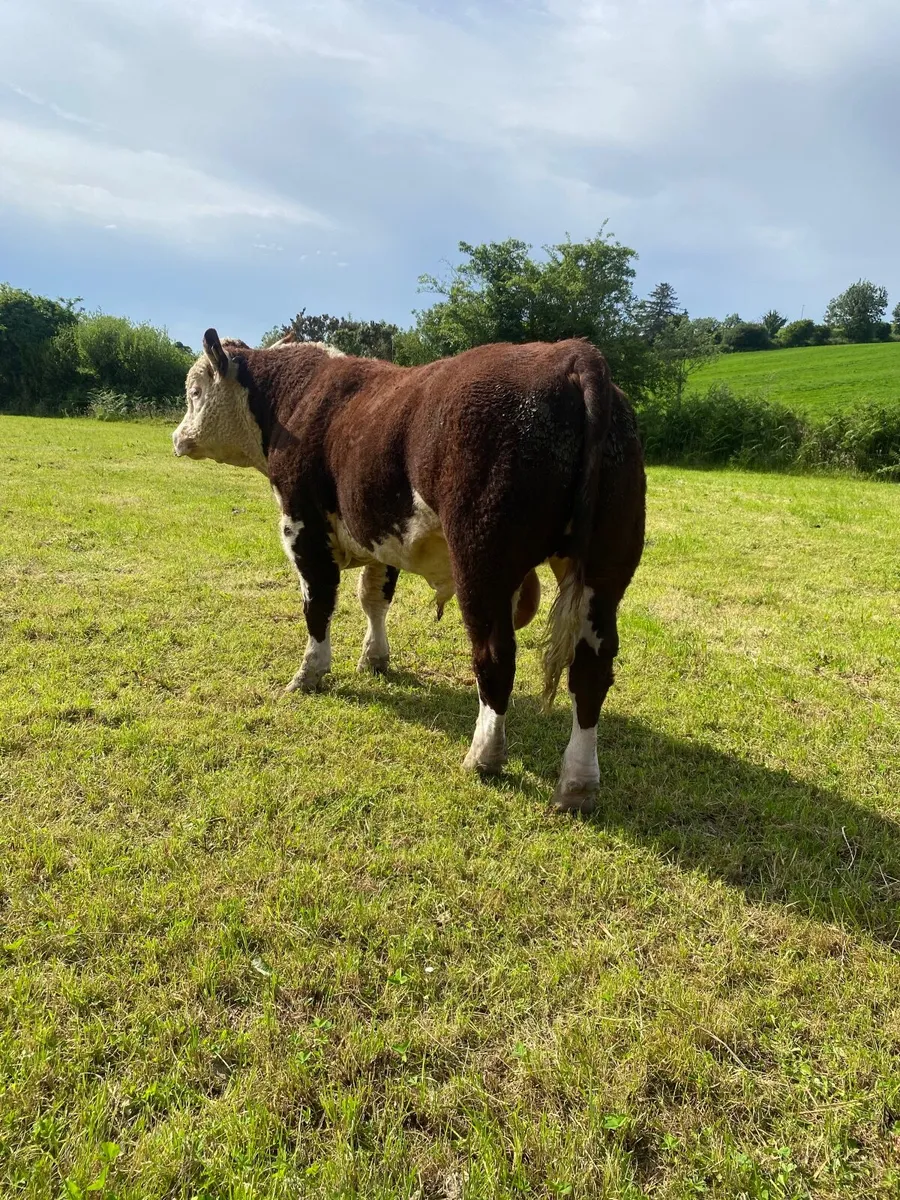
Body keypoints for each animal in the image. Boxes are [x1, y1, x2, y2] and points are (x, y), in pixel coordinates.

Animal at [172, 329, 645, 812]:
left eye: (195, 391)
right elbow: (373, 598)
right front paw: (374, 658)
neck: (297, 398)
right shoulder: (380, 534)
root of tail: (571, 353)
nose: (177, 437)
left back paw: (484, 756)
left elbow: (317, 607)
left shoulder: (302, 526)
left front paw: (309, 673)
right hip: (605, 569)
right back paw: (577, 785)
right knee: (591, 670)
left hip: (483, 563)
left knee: (496, 657)